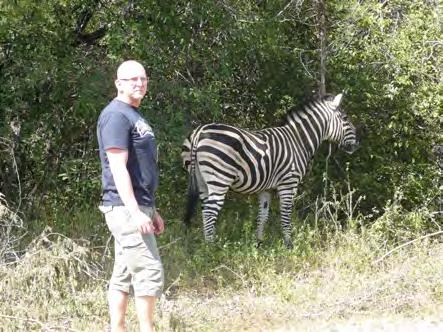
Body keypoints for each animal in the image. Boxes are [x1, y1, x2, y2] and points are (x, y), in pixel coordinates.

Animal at [182, 92, 360, 246]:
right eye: (345, 118)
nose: (358, 143)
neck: (298, 141)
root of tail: (200, 131)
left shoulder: (265, 188)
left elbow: (263, 216)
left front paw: (259, 243)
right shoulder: (289, 183)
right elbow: (285, 216)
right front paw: (289, 245)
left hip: (201, 180)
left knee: (205, 209)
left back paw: (208, 244)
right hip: (220, 179)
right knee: (210, 212)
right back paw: (211, 248)